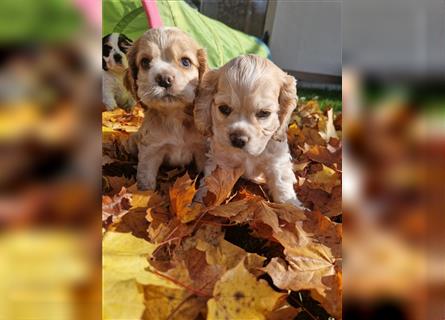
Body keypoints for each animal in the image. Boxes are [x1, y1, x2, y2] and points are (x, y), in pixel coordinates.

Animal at [124, 27, 207, 190]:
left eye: (186, 62)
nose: (164, 79)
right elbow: (146, 180)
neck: (174, 115)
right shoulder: (151, 150)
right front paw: (145, 194)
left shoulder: (202, 148)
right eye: (145, 62)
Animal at [195, 53, 302, 206]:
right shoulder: (220, 162)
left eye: (264, 113)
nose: (238, 140)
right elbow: (211, 185)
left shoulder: (277, 159)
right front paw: (199, 205)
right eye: (224, 108)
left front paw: (293, 208)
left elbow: (282, 184)